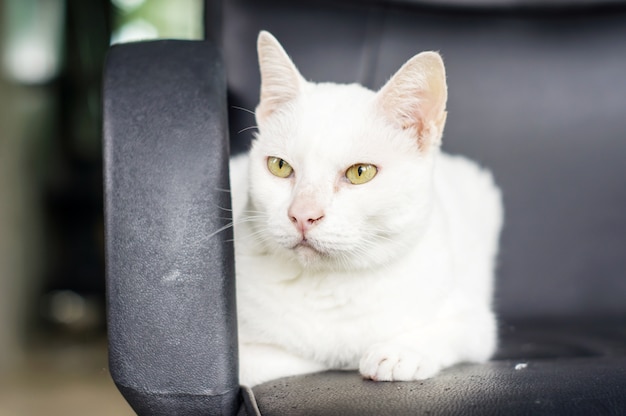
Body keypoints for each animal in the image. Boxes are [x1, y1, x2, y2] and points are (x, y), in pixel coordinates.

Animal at [229, 31, 502, 386]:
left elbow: (452, 329)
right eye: (279, 166)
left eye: (361, 172)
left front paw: (399, 353)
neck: (328, 286)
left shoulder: (477, 322)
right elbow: (265, 359)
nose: (303, 214)